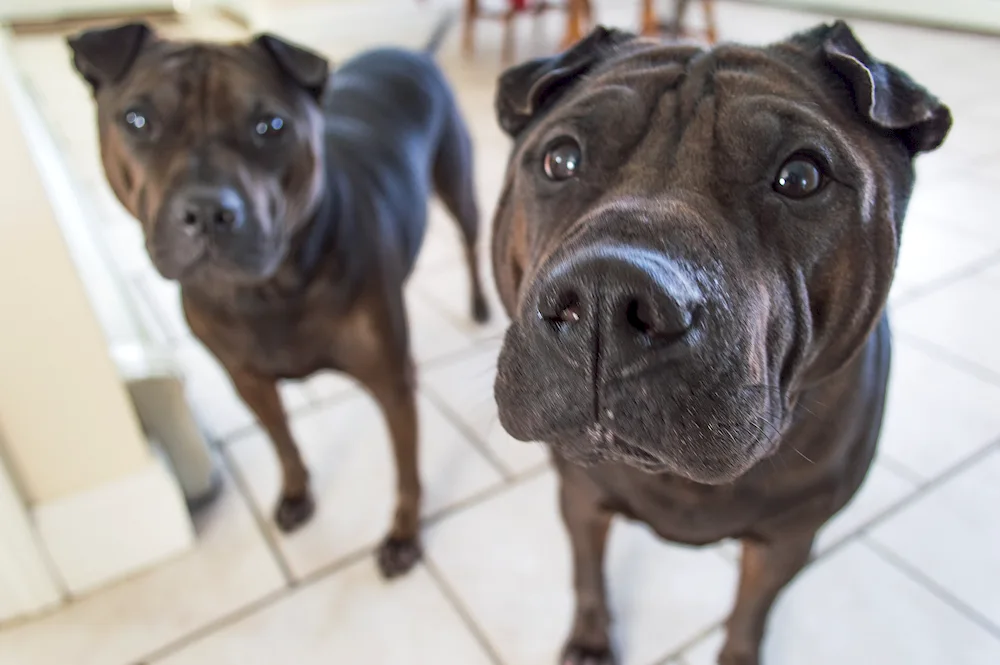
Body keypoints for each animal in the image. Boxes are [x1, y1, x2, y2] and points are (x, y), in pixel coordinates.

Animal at [68, 19, 490, 576]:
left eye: (271, 126)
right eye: (137, 120)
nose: (207, 211)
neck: (268, 291)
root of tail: (413, 54)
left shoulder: (392, 383)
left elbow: (406, 471)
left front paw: (403, 534)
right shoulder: (248, 381)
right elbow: (283, 443)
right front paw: (295, 495)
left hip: (457, 186)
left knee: (470, 243)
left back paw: (481, 305)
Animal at [492, 22, 952, 664]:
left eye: (802, 176)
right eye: (561, 159)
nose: (606, 298)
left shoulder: (788, 540)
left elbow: (750, 613)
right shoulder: (581, 496)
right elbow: (587, 572)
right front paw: (589, 639)